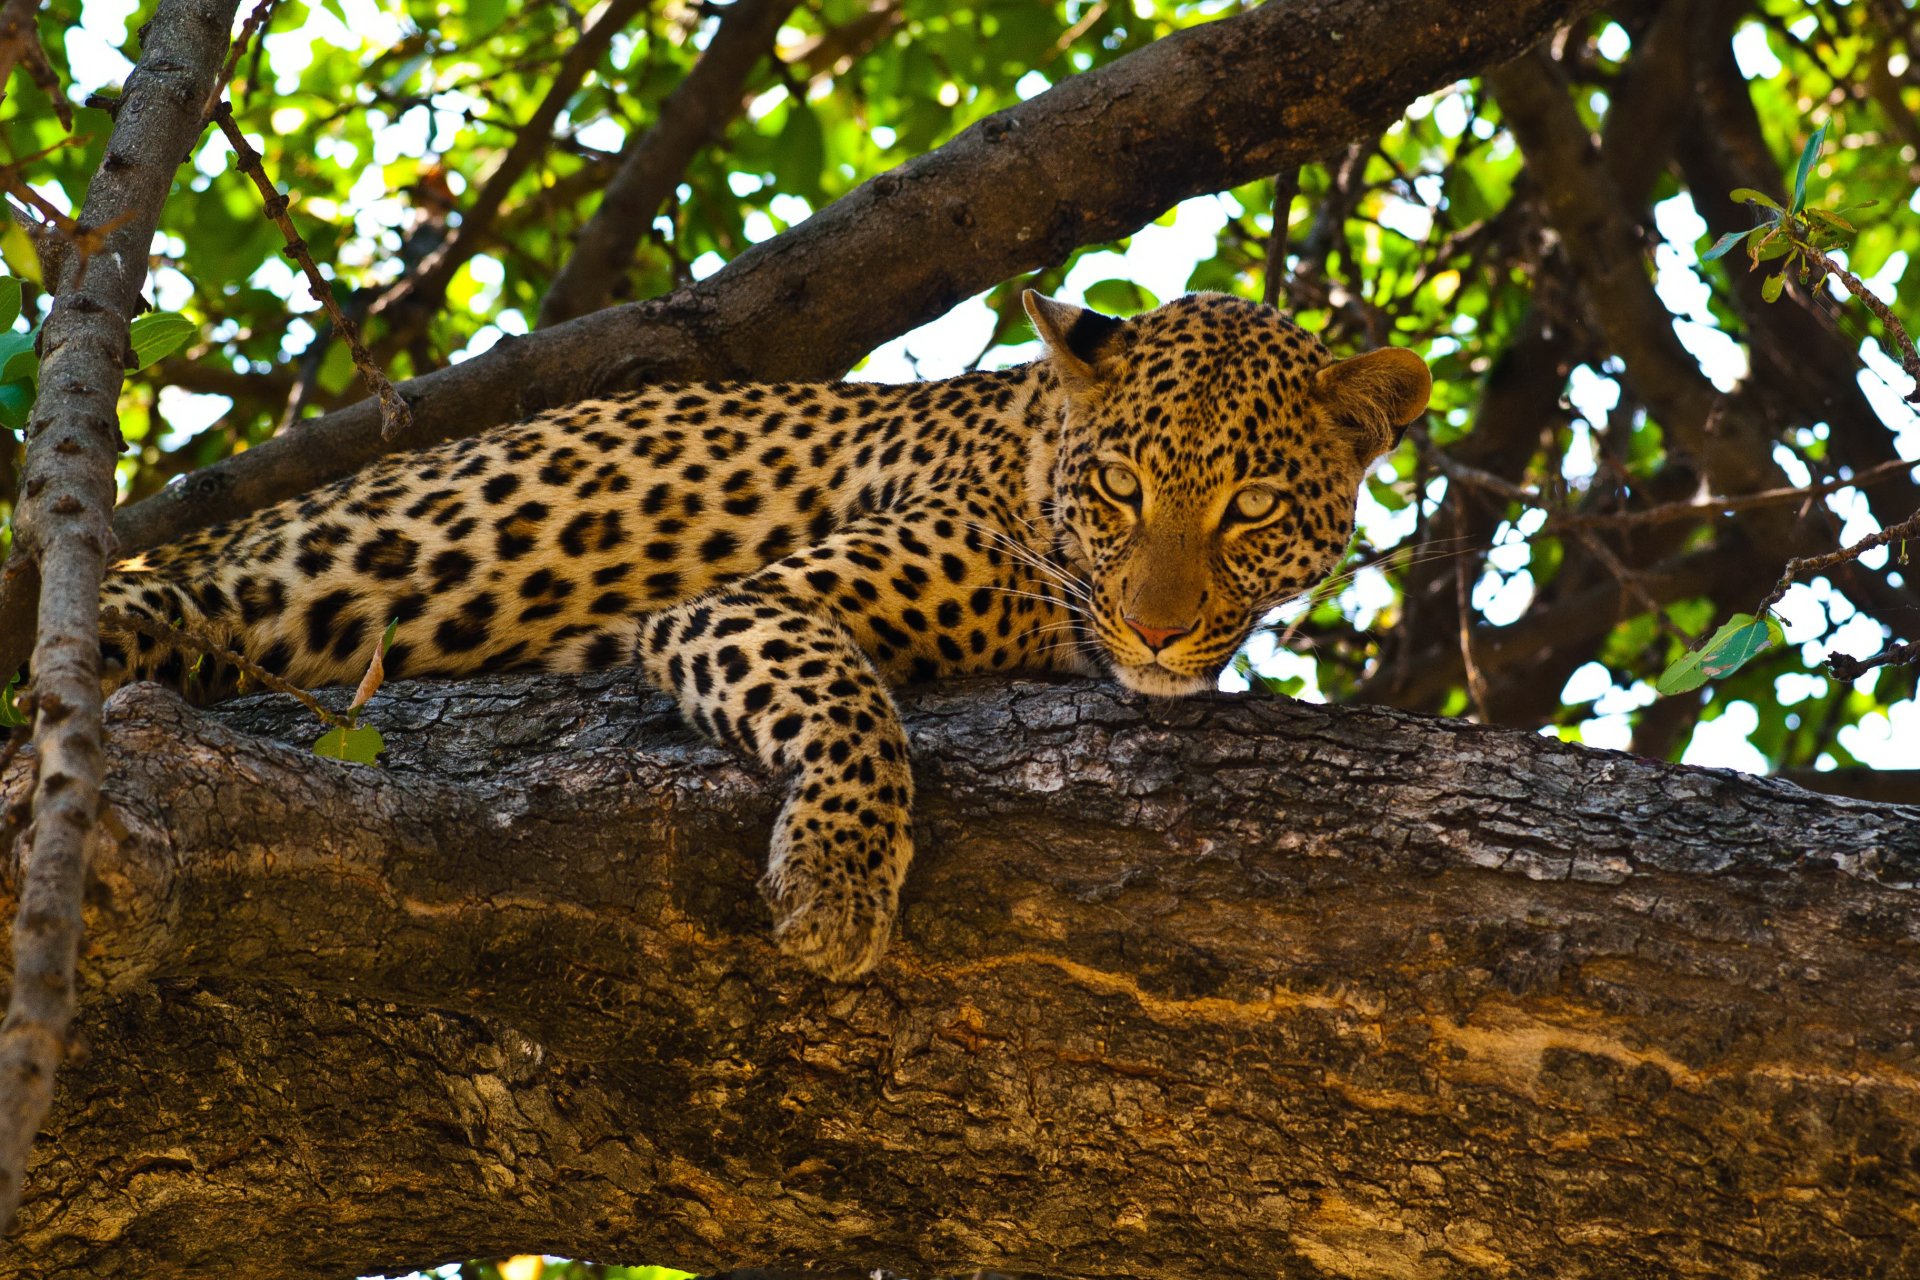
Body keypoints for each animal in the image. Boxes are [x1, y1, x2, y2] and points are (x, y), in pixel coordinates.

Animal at [99, 290, 1431, 979]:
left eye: (1251, 506)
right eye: (1121, 489)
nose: (1157, 631)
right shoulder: (751, 604)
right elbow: (854, 707)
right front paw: (836, 883)